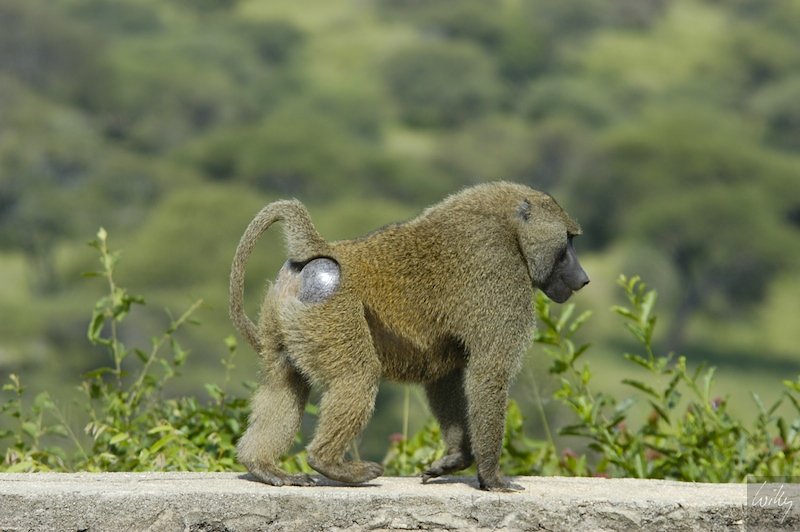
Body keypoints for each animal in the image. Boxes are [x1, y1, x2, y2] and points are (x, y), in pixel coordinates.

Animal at [229, 181, 589, 491]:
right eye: (568, 241)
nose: (584, 278)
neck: (509, 229)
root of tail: (328, 252)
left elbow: (446, 377)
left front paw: (455, 459)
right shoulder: (501, 272)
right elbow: (489, 373)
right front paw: (491, 477)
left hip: (285, 317)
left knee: (283, 382)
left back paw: (263, 466)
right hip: (331, 312)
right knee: (358, 376)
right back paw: (331, 463)